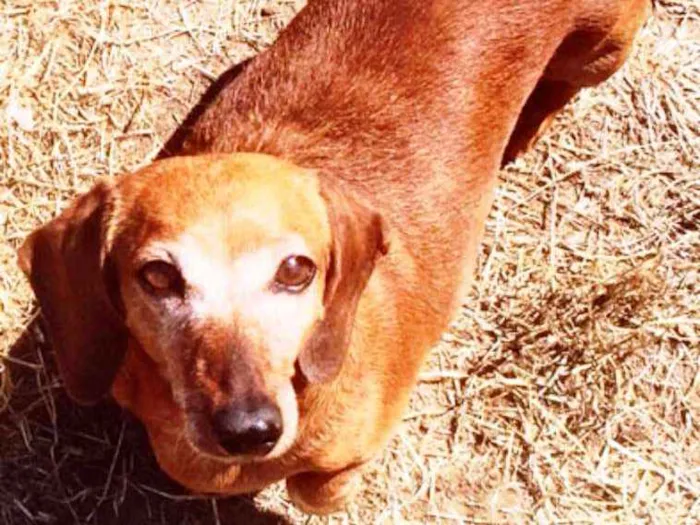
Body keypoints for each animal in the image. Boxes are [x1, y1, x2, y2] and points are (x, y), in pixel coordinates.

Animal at [17, 0, 652, 512]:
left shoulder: (348, 457)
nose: (248, 429)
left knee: (561, 88)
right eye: (157, 276)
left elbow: (317, 488)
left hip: (603, 49)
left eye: (297, 271)